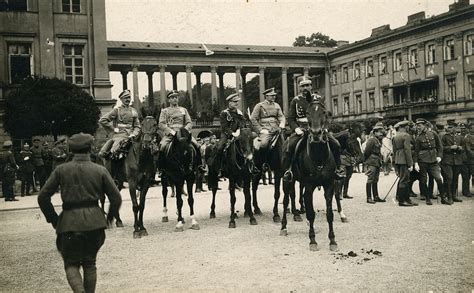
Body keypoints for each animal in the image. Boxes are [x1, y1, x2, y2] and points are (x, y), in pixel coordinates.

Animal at [280, 101, 338, 251]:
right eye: (307, 113)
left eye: (324, 112)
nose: (316, 134)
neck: (319, 157)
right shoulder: (309, 187)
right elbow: (311, 213)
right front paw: (312, 240)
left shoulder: (329, 186)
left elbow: (329, 214)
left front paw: (332, 240)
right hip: (287, 181)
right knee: (286, 201)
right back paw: (283, 227)